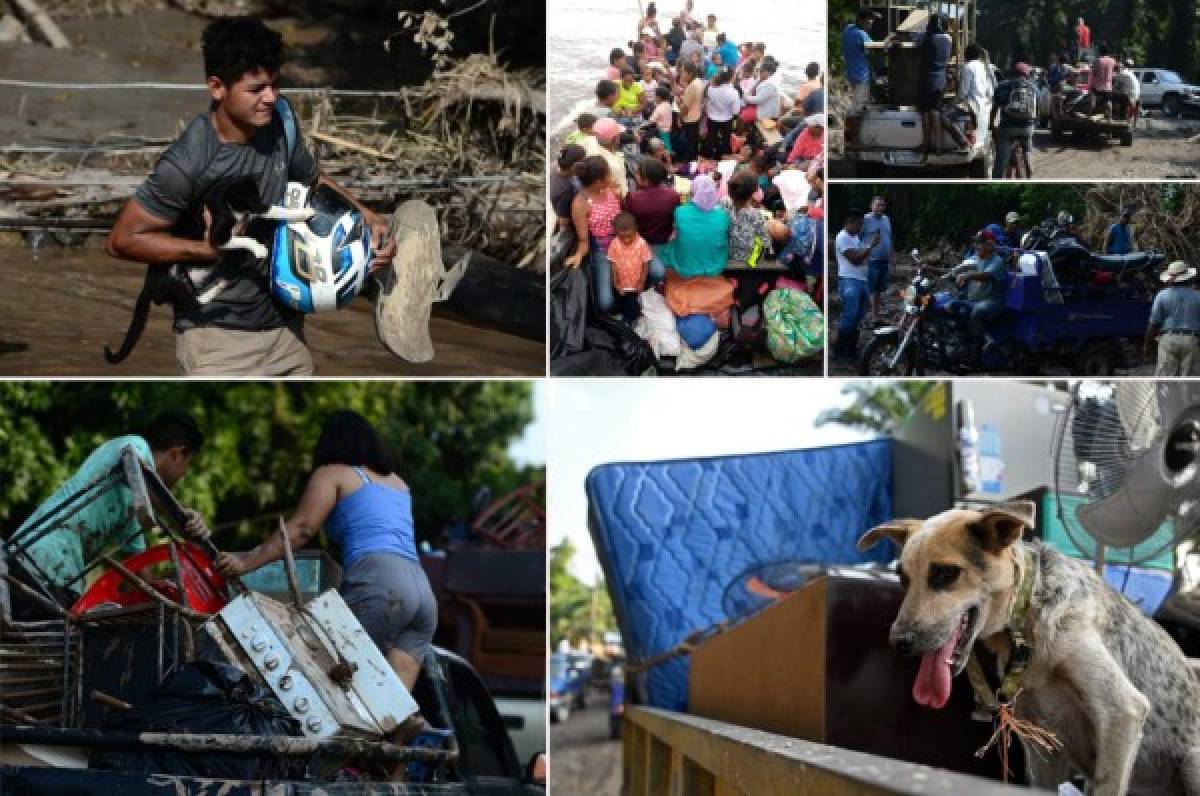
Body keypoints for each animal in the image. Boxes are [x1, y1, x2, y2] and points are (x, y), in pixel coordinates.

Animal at [859, 504, 1200, 796]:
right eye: (903, 578)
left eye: (944, 573)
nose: (898, 643)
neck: (1027, 614)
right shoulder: (1041, 749)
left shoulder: (1122, 712)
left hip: (1191, 762)